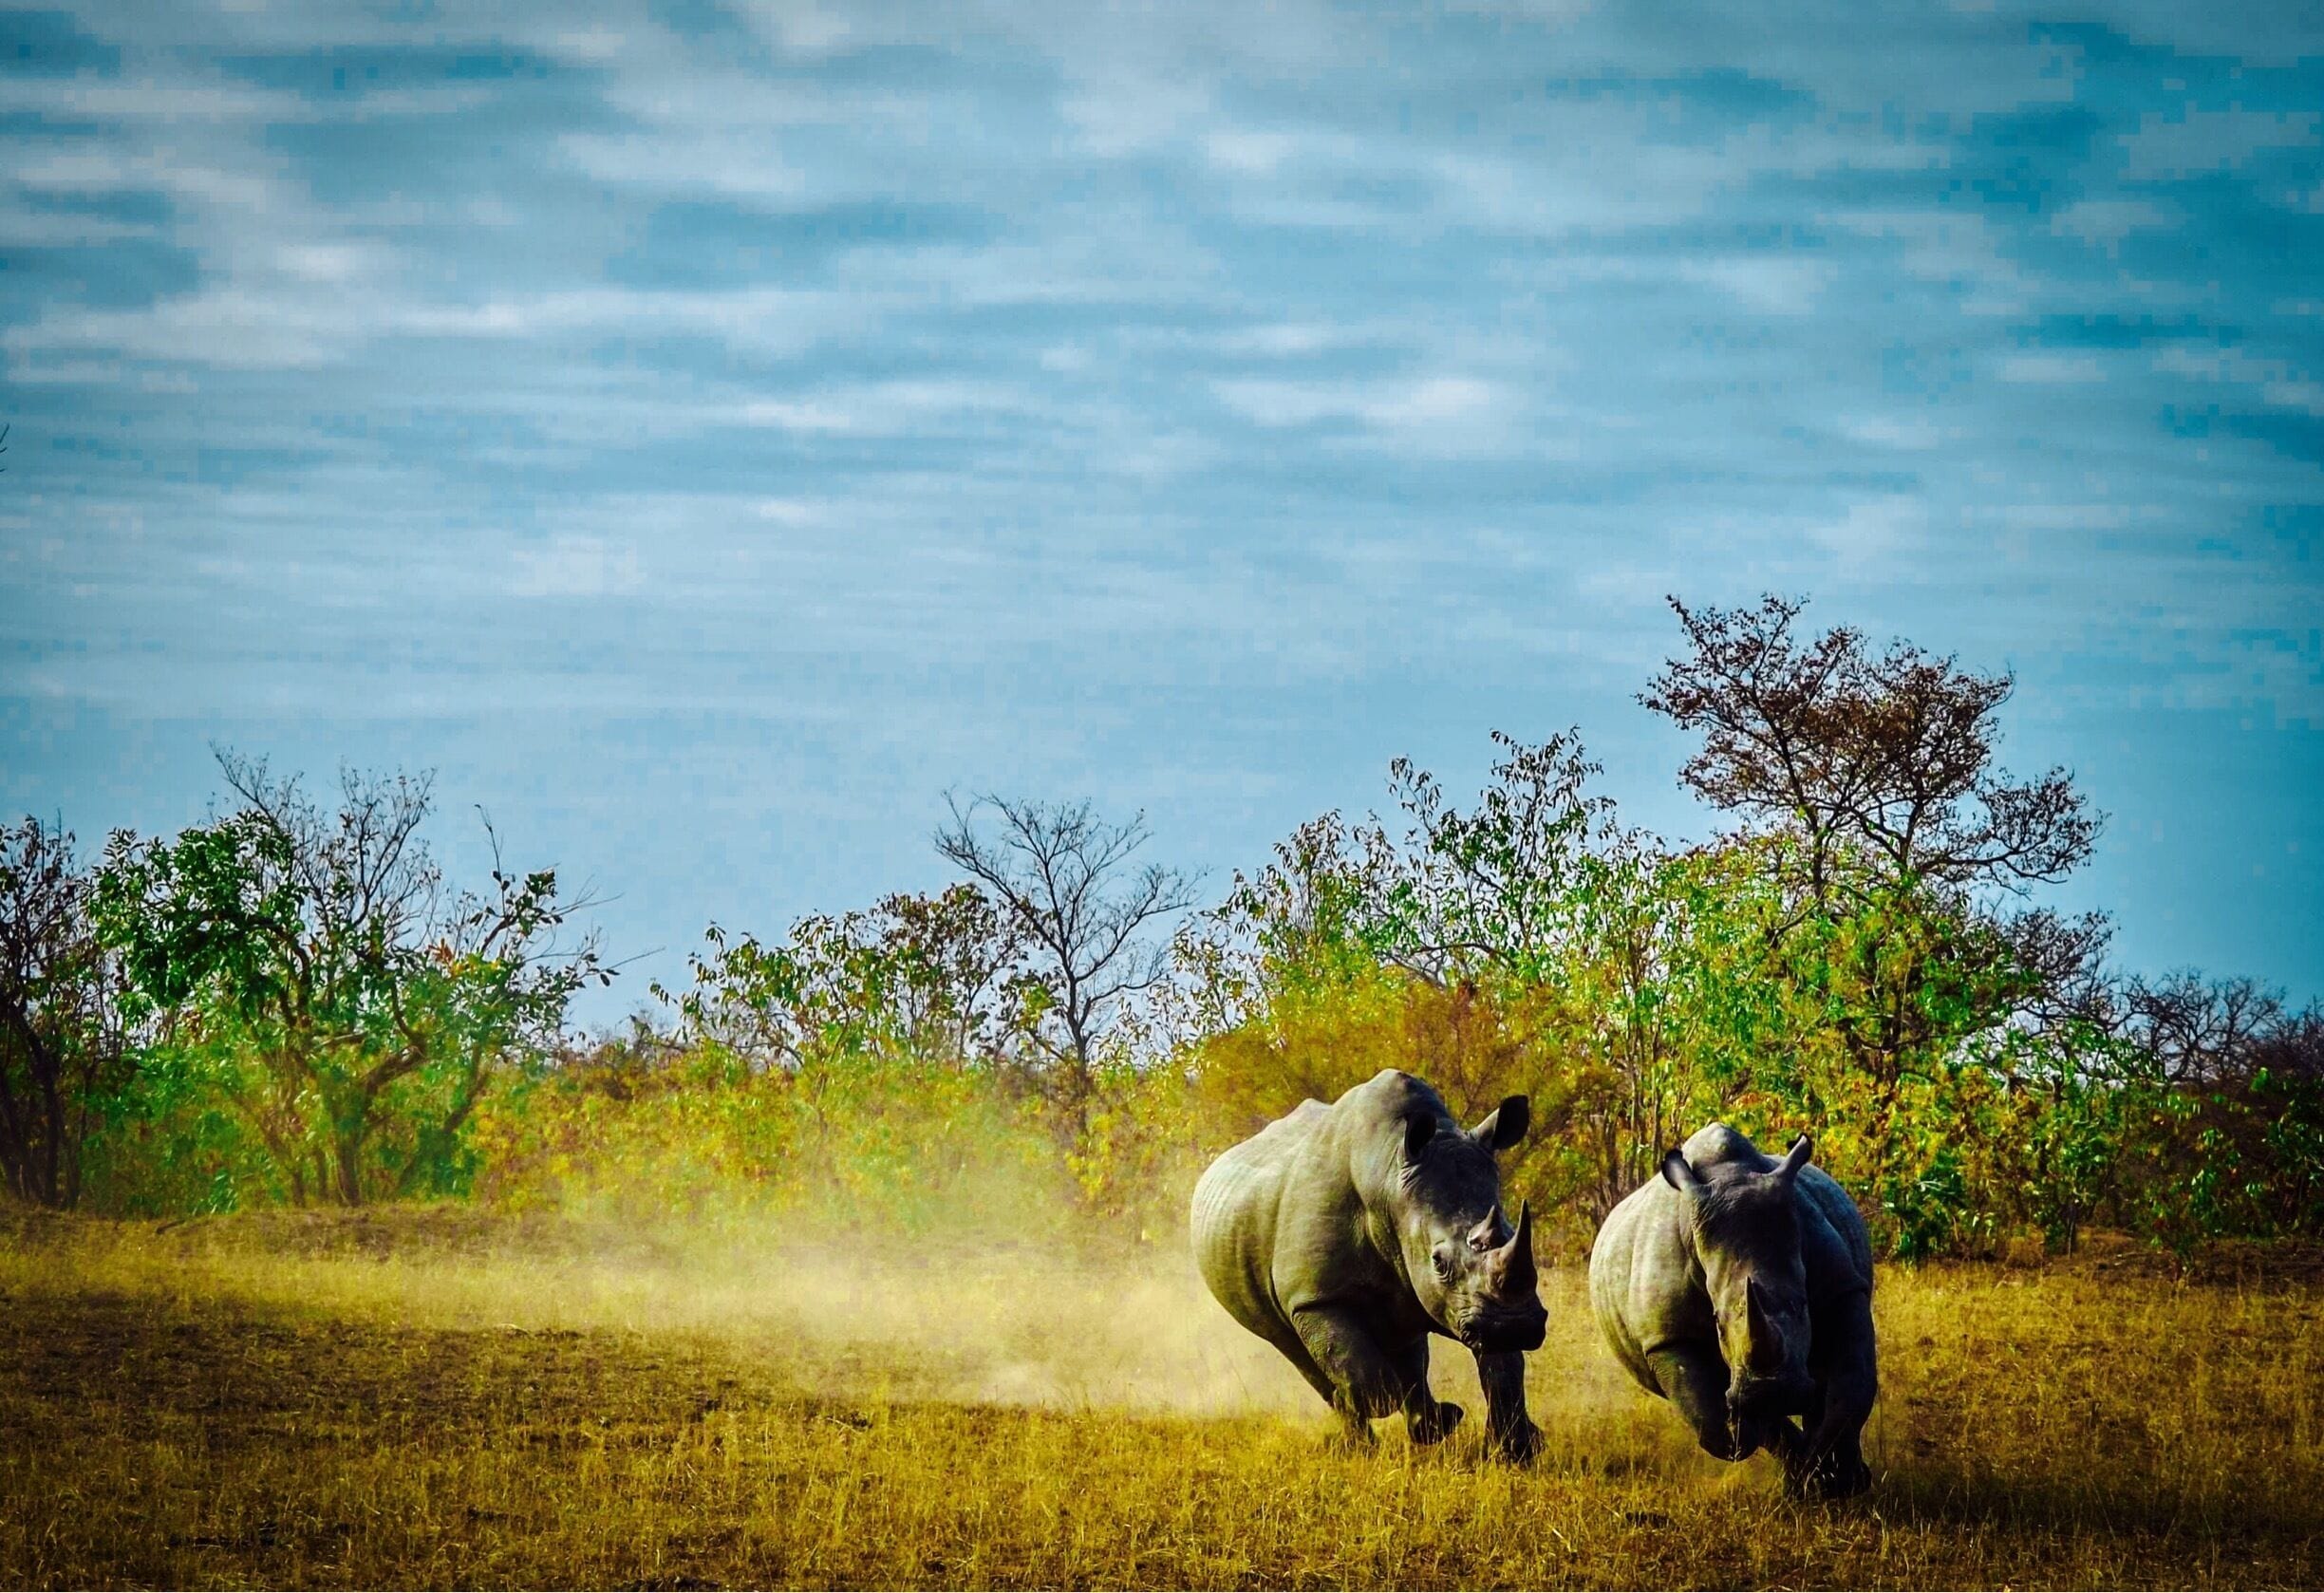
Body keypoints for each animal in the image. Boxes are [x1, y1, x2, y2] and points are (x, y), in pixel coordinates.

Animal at [1191, 1068, 1547, 1460]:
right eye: (1439, 1262)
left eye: (1511, 1233)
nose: (1515, 1327)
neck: (1388, 1179)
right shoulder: (1315, 1297)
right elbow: (1359, 1372)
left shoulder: (1478, 1306)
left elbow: (1504, 1369)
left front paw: (1517, 1451)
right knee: (1297, 1349)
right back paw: (1363, 1441)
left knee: (1401, 1337)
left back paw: (1434, 1424)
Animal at [1588, 1123, 1877, 1498]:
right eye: (1716, 1322)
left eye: (1802, 1304)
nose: (1773, 1392)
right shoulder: (1667, 1334)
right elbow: (1716, 1425)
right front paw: (1802, 1467)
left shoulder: (1841, 1288)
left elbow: (1854, 1386)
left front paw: (1835, 1478)